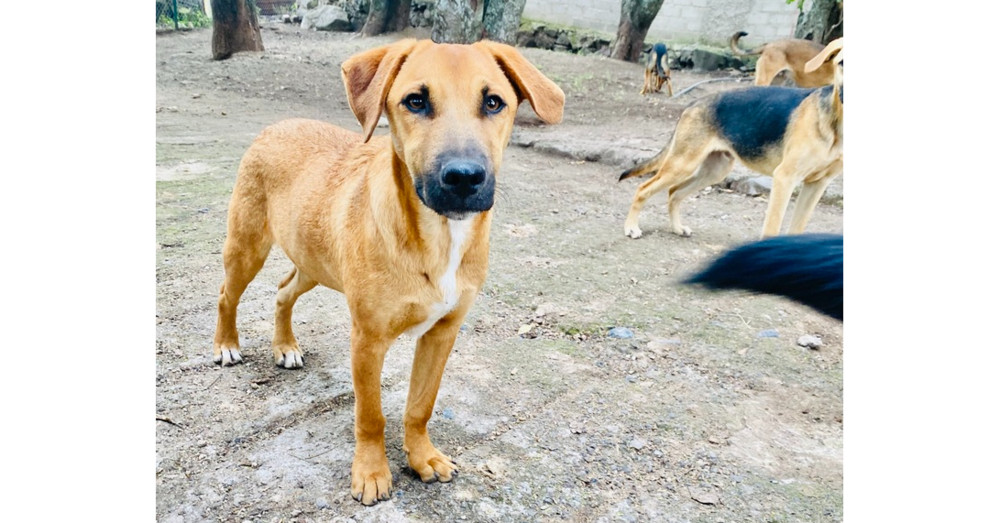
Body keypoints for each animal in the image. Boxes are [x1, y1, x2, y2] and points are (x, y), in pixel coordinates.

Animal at [210, 39, 564, 506]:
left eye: (493, 102)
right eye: (415, 101)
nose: (463, 178)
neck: (439, 238)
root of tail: (277, 126)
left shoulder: (443, 333)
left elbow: (420, 406)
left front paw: (422, 457)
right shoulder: (368, 338)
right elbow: (371, 414)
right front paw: (371, 473)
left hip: (313, 262)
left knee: (283, 291)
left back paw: (285, 347)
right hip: (247, 247)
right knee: (226, 295)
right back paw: (227, 345)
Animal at [620, 37, 840, 238]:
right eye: (841, 63)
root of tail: (694, 103)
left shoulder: (816, 185)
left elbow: (798, 228)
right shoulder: (784, 179)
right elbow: (772, 228)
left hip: (714, 170)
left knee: (674, 192)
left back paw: (677, 228)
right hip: (682, 165)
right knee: (643, 189)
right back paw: (631, 227)